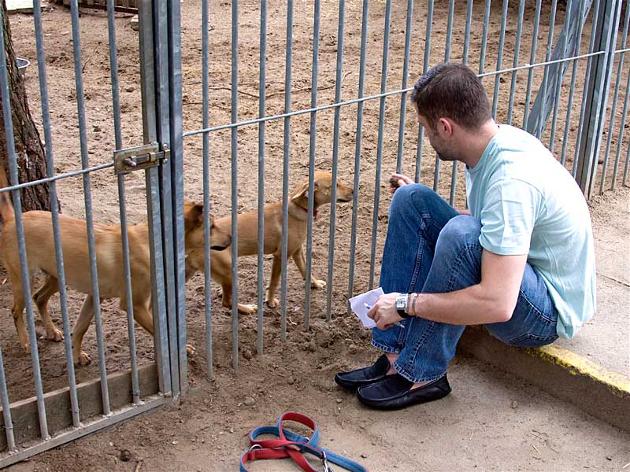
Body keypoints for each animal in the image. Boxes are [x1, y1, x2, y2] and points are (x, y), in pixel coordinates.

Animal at [0, 171, 232, 366]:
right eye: (211, 227)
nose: (231, 238)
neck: (151, 243)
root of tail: (12, 220)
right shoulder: (135, 305)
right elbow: (159, 331)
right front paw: (183, 351)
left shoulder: (95, 296)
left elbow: (80, 327)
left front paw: (76, 356)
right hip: (23, 279)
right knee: (16, 310)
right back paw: (26, 343)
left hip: (57, 277)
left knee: (39, 298)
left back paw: (52, 331)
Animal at [188, 170, 356, 314]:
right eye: (335, 185)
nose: (354, 191)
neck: (299, 209)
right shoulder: (280, 256)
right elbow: (274, 282)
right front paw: (270, 302)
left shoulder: (297, 251)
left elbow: (305, 270)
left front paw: (314, 284)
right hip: (228, 271)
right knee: (227, 302)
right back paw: (247, 309)